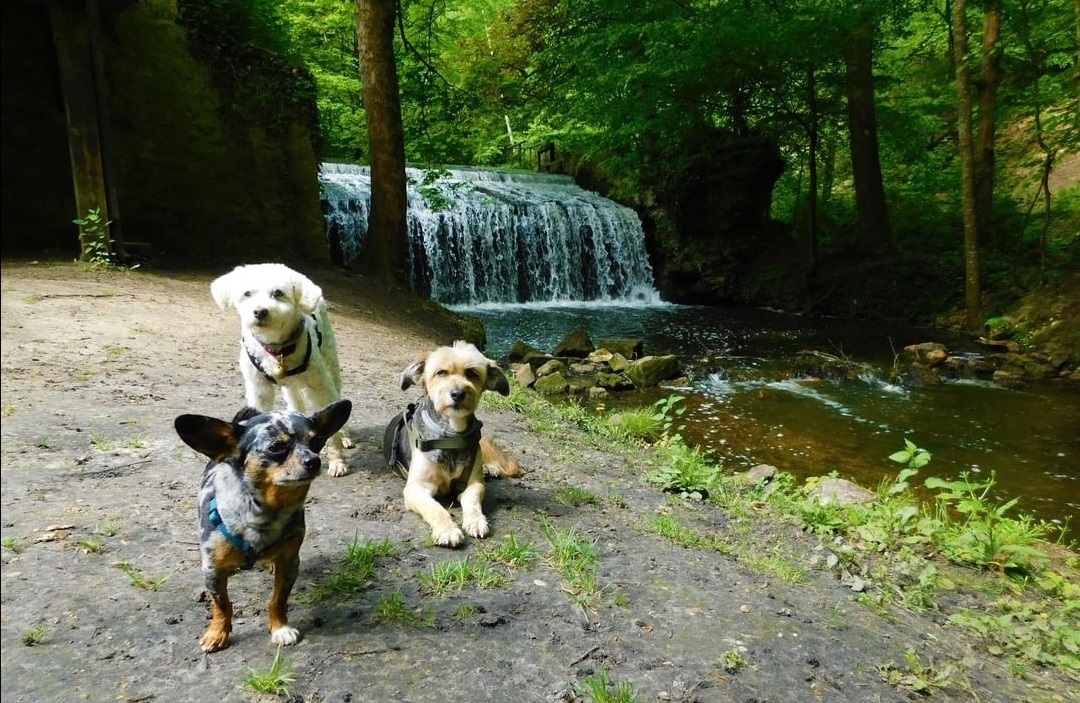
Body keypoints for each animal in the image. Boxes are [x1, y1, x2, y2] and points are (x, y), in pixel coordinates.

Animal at [172, 399, 349, 652]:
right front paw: (217, 633)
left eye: (316, 442)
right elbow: (222, 604)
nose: (314, 460)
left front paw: (280, 628)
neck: (266, 512)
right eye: (276, 447)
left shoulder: (290, 563)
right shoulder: (213, 571)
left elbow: (278, 599)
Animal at [213, 265, 354, 479]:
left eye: (278, 293)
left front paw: (337, 461)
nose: (260, 311)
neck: (276, 348)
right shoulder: (259, 389)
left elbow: (332, 421)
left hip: (331, 362)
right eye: (247, 293)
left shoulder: (320, 387)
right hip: (291, 386)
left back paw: (345, 435)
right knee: (295, 401)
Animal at [382, 341, 520, 550]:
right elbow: (435, 508)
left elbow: (473, 504)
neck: (451, 434)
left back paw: (490, 469)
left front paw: (476, 520)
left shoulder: (473, 484)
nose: (457, 394)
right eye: (441, 372)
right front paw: (447, 530)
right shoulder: (416, 488)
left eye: (471, 373)